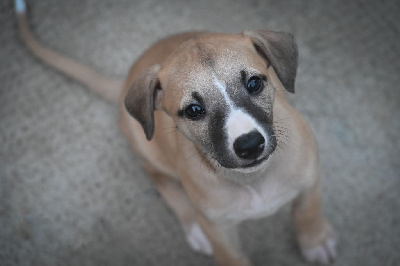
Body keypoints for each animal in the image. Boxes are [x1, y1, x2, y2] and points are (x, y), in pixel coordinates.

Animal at [14, 1, 336, 264]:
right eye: (194, 110)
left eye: (255, 83)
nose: (249, 145)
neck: (254, 180)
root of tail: (124, 84)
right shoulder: (218, 228)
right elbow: (230, 256)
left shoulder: (311, 177)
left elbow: (308, 211)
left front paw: (314, 241)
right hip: (149, 151)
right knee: (160, 180)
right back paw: (192, 226)